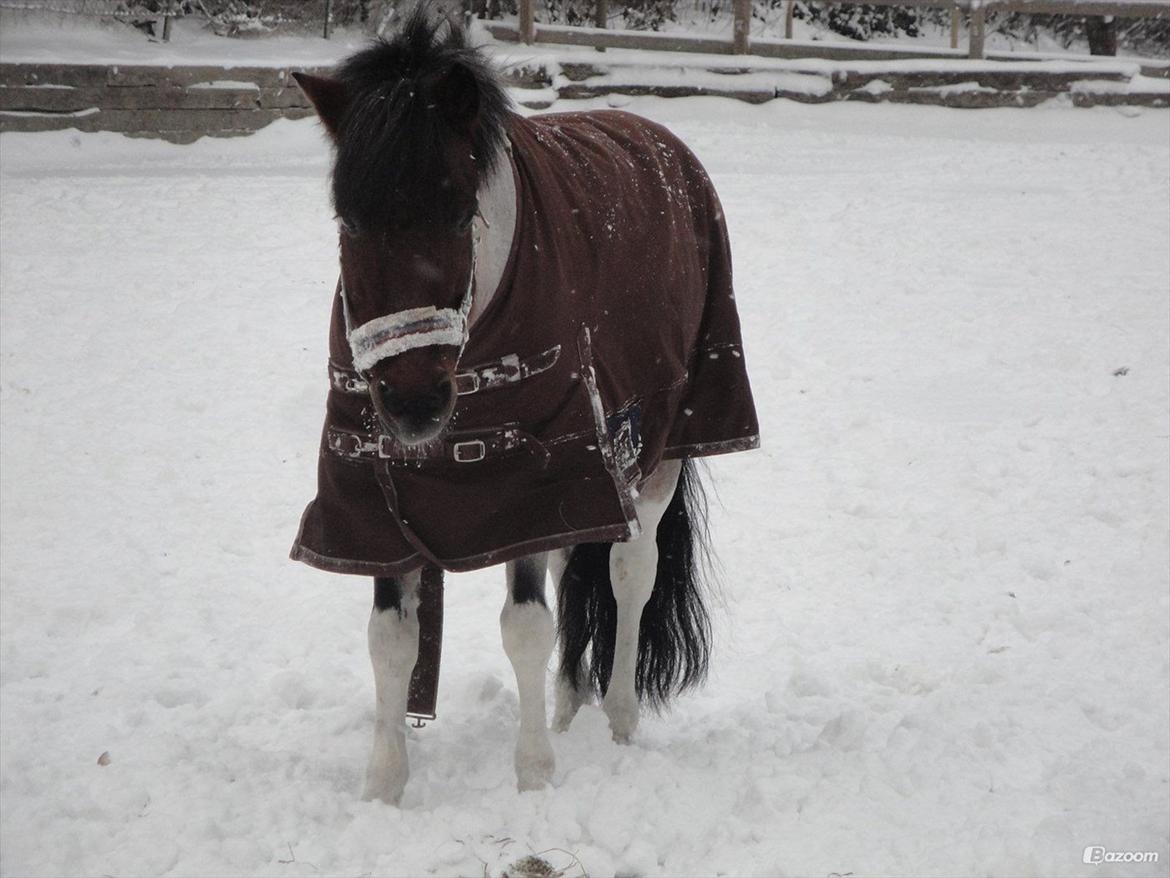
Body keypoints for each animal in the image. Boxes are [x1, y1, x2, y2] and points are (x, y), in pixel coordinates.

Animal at [292, 8, 758, 805]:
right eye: (347, 221)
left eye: (457, 213)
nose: (413, 407)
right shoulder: (377, 498)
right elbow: (391, 640)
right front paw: (385, 785)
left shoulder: (536, 483)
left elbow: (525, 626)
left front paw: (534, 776)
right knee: (582, 566)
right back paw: (570, 705)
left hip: (660, 450)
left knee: (630, 571)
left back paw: (619, 721)